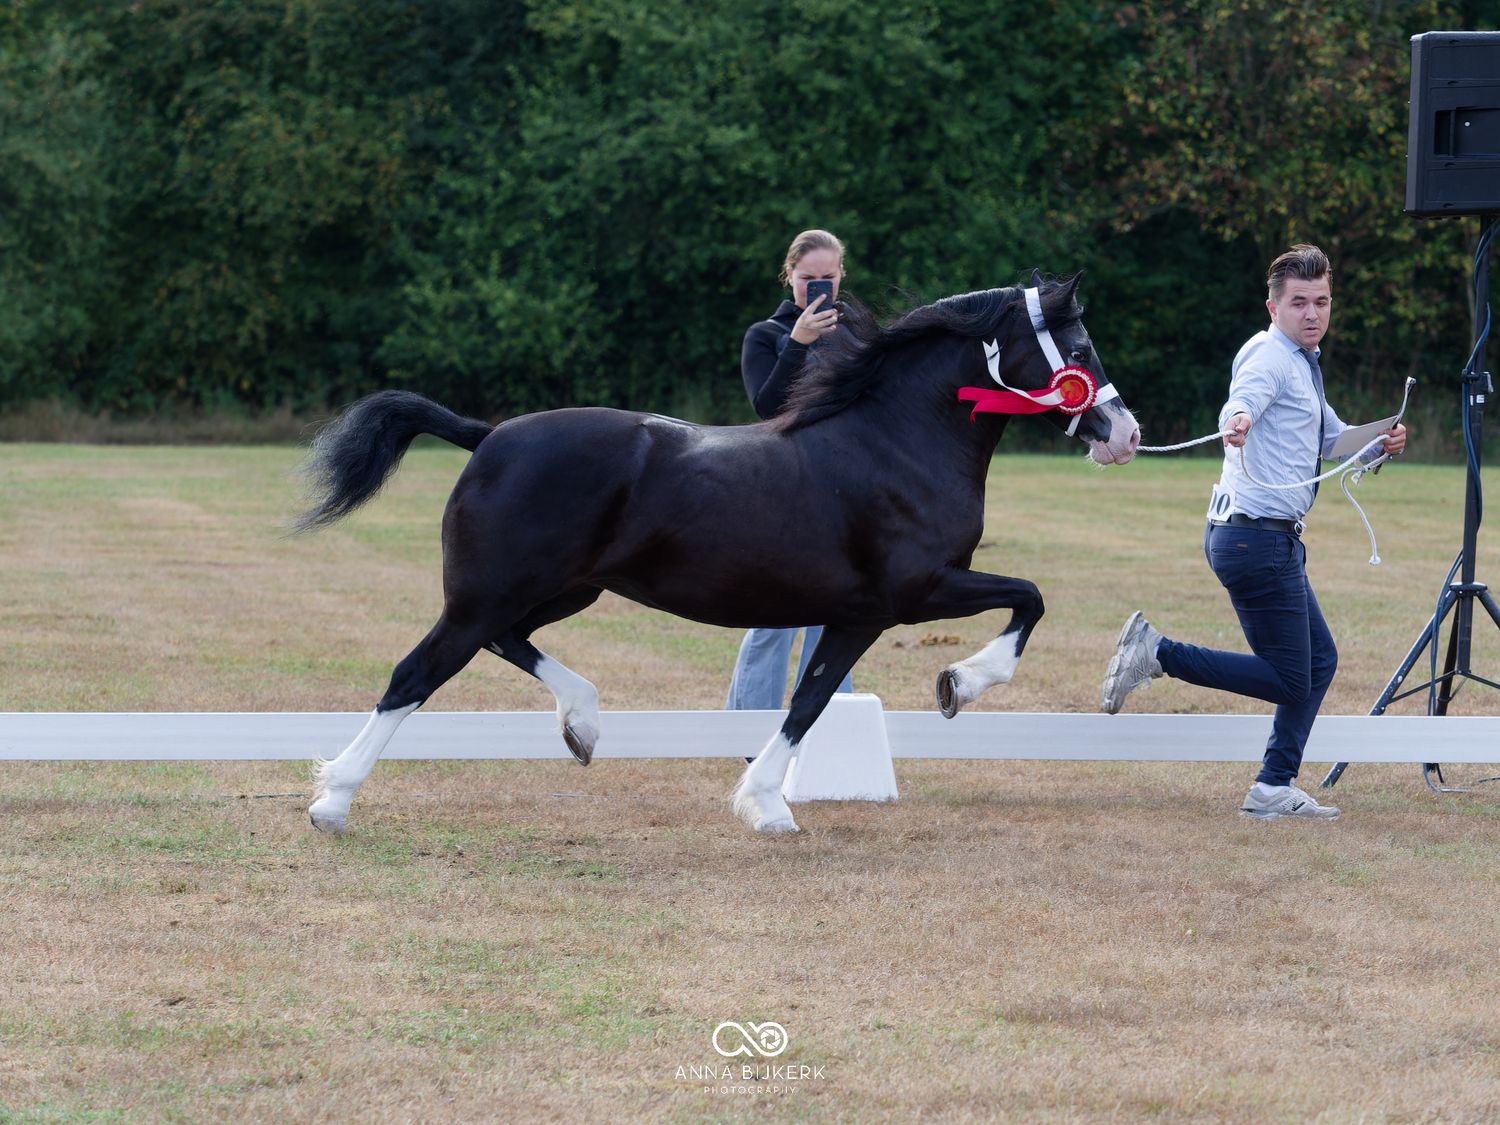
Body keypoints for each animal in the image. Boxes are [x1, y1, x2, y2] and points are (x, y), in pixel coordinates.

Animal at [295, 272, 1139, 835]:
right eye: (1078, 344)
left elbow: (809, 701)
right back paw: (332, 799)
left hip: (564, 589)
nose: (1125, 434)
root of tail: (487, 434)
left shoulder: (855, 614)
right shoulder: (915, 591)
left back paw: (584, 725)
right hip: (488, 594)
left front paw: (765, 802)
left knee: (507, 642)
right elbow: (1028, 597)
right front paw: (957, 685)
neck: (895, 440)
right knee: (416, 672)